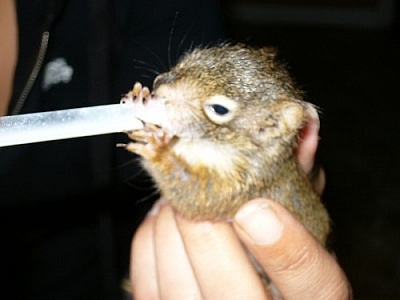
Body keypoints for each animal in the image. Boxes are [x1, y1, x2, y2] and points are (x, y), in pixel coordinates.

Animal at [122, 43, 332, 247]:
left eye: (219, 109)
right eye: (193, 56)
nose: (158, 84)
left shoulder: (243, 185)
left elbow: (193, 195)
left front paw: (158, 150)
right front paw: (138, 97)